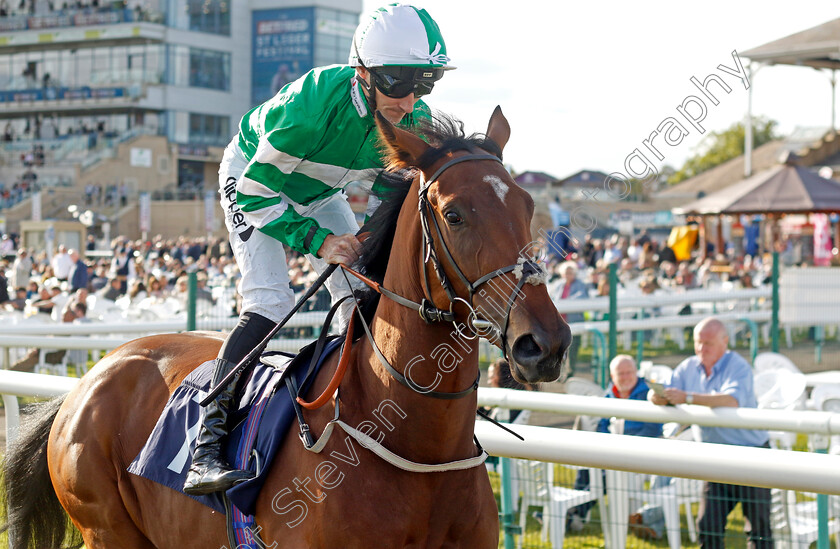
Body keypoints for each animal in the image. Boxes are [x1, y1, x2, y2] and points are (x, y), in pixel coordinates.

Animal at [4, 108, 572, 548]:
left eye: (527, 205)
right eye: (454, 215)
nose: (544, 343)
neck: (415, 445)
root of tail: (87, 380)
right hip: (107, 529)